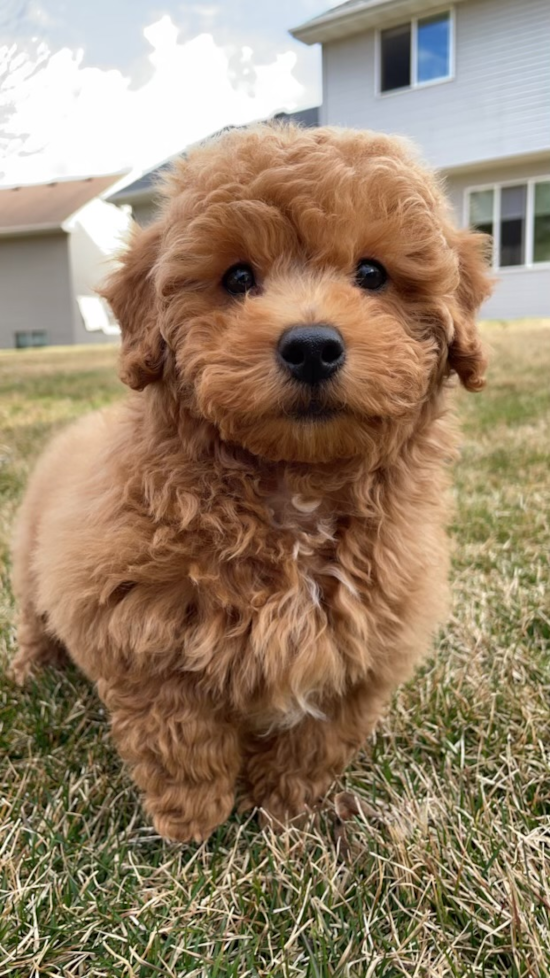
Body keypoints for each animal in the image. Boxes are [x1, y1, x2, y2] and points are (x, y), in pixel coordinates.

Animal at [8, 124, 494, 840]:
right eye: (238, 277)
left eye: (372, 274)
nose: (312, 345)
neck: (292, 491)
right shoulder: (134, 622)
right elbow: (179, 729)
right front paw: (190, 820)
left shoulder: (361, 642)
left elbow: (315, 738)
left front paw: (284, 811)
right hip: (31, 557)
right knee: (33, 618)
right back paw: (29, 670)